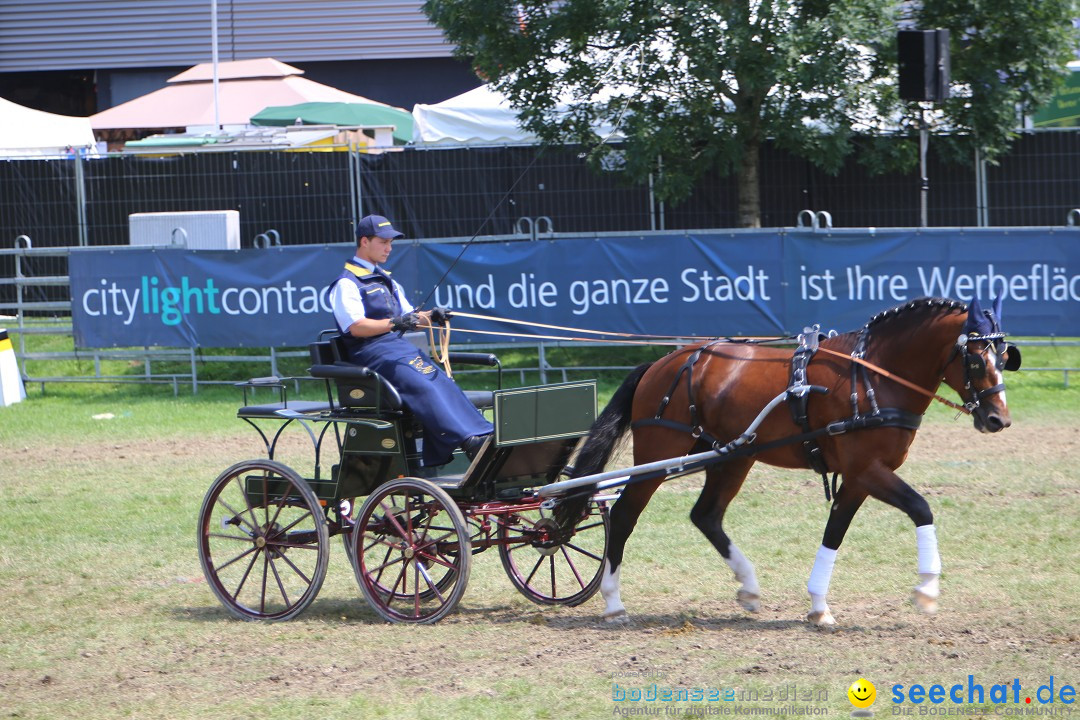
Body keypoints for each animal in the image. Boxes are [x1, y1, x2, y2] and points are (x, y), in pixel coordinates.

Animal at [557, 297, 1019, 626]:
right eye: (974, 358)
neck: (873, 376)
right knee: (623, 515)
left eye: (1004, 357)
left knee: (706, 515)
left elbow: (835, 533)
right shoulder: (867, 470)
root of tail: (662, 362)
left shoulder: (857, 478)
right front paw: (927, 590)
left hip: (731, 457)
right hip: (659, 454)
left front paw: (819, 606)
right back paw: (613, 602)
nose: (998, 419)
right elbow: (921, 508)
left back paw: (748, 586)